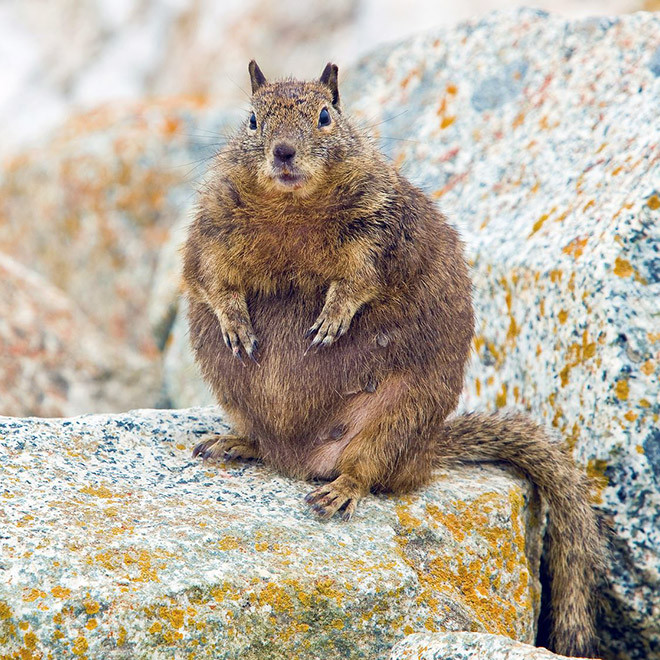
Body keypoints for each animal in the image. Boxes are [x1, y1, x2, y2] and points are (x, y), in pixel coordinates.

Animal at [182, 60, 608, 656]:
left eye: (325, 116)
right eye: (251, 120)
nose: (284, 152)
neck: (291, 210)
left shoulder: (381, 234)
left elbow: (361, 280)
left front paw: (333, 316)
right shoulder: (212, 227)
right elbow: (210, 276)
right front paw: (235, 322)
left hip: (397, 417)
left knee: (368, 471)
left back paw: (340, 490)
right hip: (235, 395)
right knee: (261, 440)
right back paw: (235, 442)